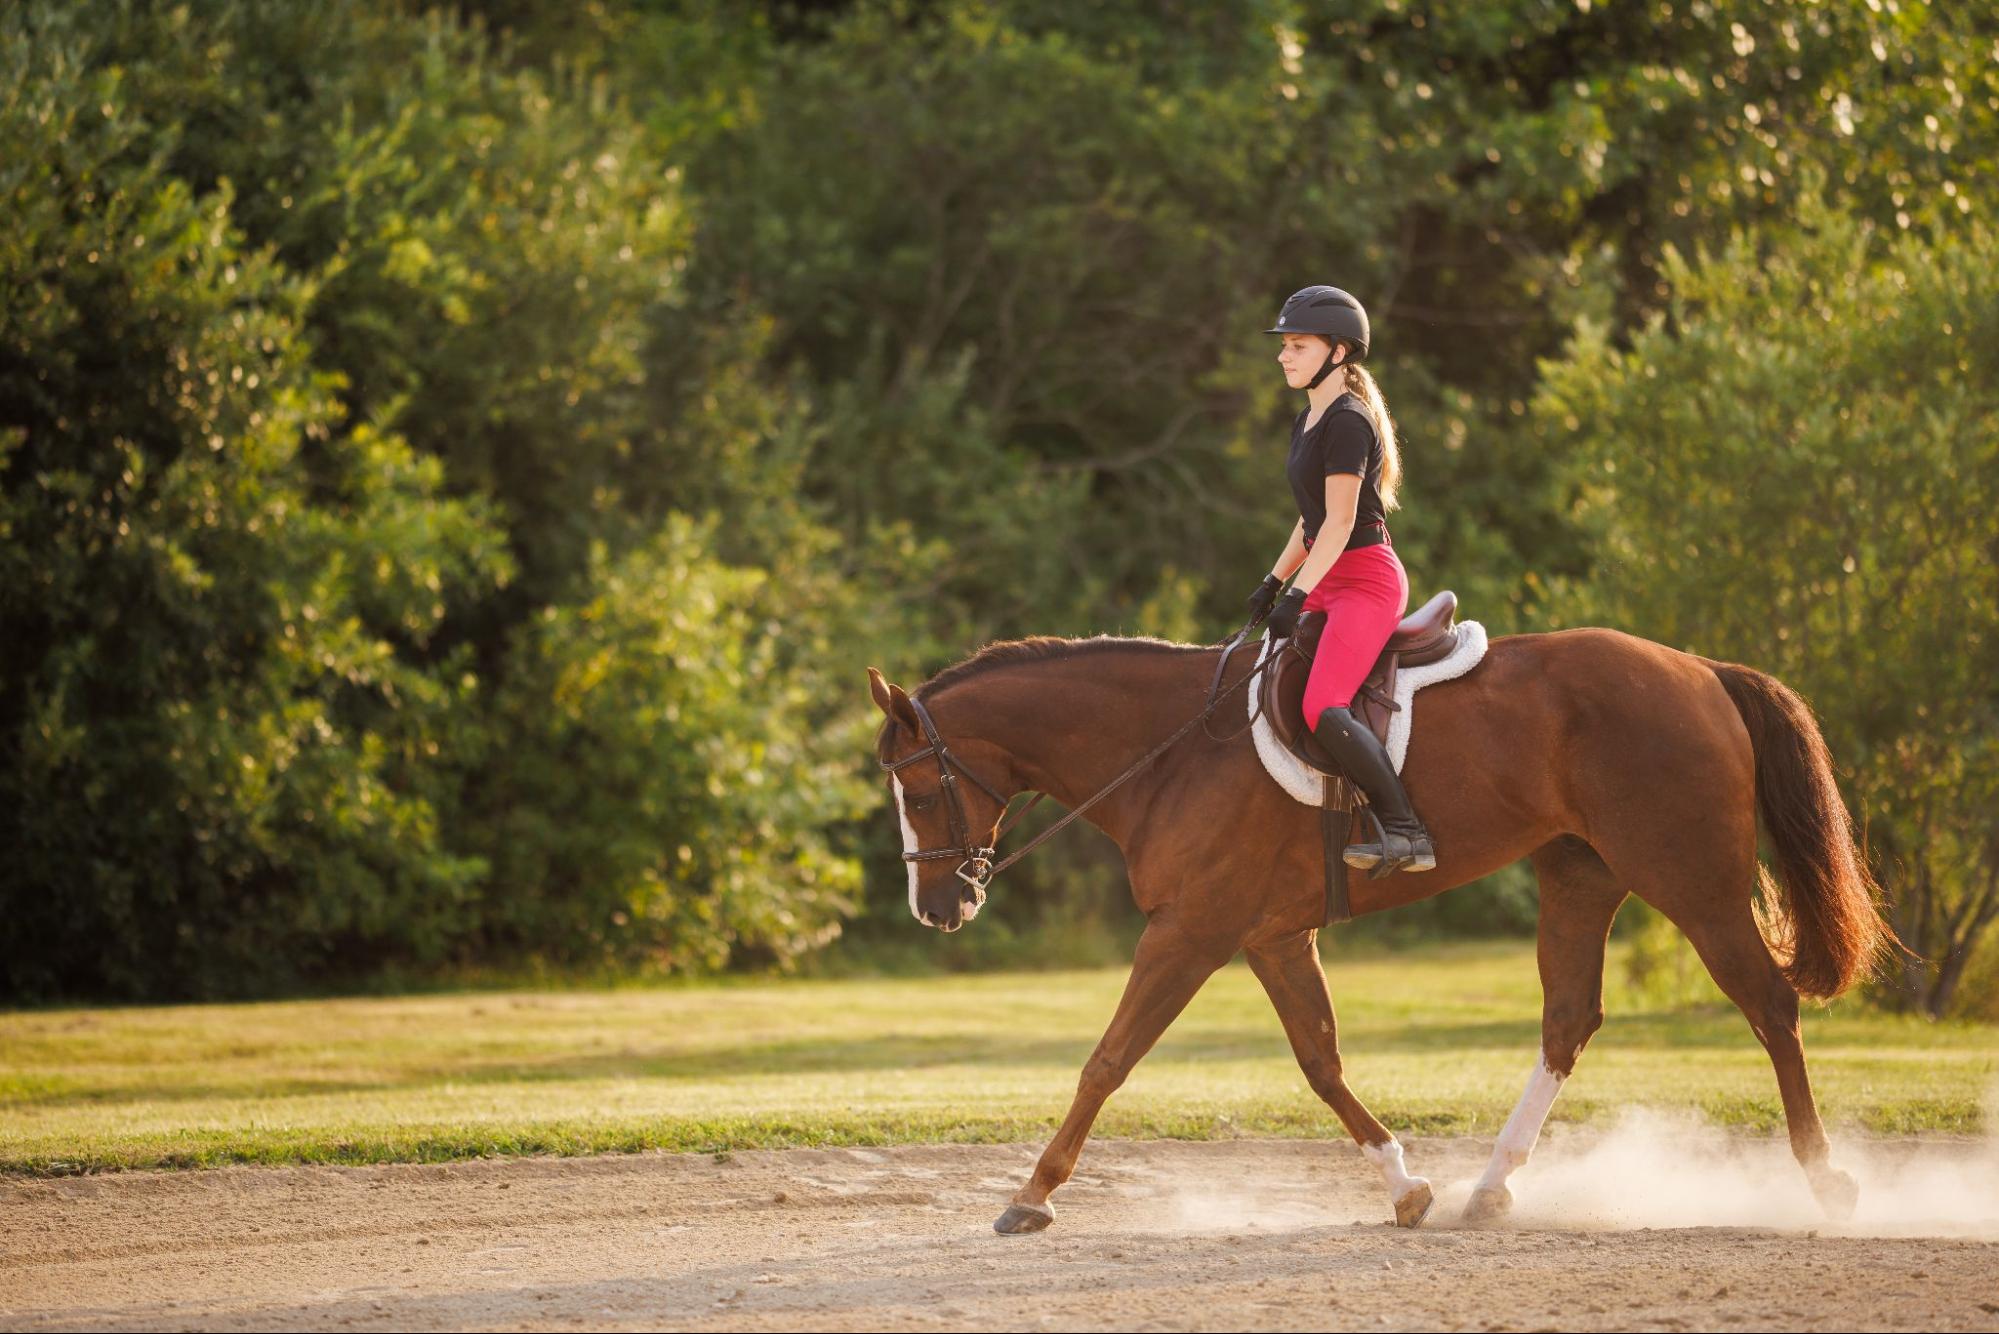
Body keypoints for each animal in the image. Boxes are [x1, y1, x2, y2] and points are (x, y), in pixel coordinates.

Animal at [867, 628, 1895, 1232]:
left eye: (917, 790)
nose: (938, 908)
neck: (1166, 748)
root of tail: (1699, 671)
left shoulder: (1187, 933)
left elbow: (1106, 1061)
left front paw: (1030, 1194)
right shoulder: (1271, 939)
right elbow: (1320, 1063)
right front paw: (1405, 1186)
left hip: (1692, 883)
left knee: (1767, 1006)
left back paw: (1827, 1181)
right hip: (1579, 877)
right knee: (1566, 1021)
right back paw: (1490, 1188)